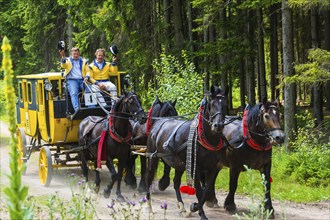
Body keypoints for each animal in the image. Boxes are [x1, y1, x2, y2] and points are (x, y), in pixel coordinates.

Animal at [146, 85, 228, 219]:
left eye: (225, 104)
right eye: (212, 104)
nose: (218, 125)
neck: (205, 138)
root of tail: (158, 123)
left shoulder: (211, 168)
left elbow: (206, 190)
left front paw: (194, 207)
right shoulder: (196, 168)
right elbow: (199, 191)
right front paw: (201, 213)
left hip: (179, 164)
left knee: (176, 183)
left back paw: (182, 207)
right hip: (152, 157)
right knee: (149, 178)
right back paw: (149, 205)